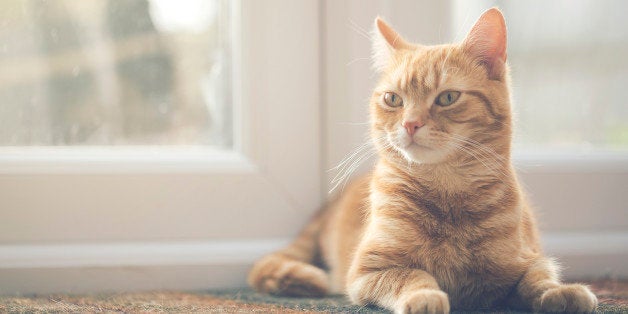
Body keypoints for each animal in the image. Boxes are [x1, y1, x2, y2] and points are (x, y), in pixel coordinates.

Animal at [248, 7, 596, 314]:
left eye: (447, 97)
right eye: (393, 99)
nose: (410, 124)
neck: (448, 191)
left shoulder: (528, 260)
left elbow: (538, 279)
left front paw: (562, 292)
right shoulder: (368, 271)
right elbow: (413, 274)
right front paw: (426, 296)